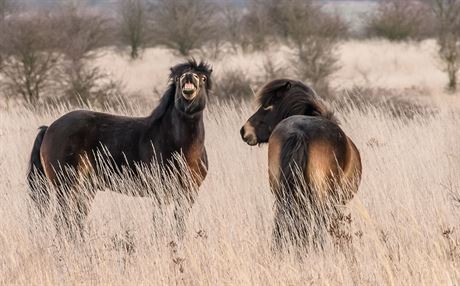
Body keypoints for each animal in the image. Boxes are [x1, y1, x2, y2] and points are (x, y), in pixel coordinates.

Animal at [29, 58, 213, 239]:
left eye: (203, 78)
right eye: (177, 78)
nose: (188, 77)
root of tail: (49, 128)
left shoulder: (189, 193)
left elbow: (179, 224)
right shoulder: (160, 193)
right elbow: (159, 224)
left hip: (85, 188)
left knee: (76, 219)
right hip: (66, 186)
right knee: (63, 220)